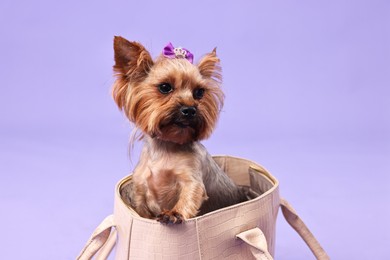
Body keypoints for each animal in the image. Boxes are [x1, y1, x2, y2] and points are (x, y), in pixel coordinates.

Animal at [111, 35, 251, 224]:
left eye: (199, 92)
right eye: (165, 87)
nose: (190, 110)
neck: (167, 145)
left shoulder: (191, 179)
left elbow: (189, 195)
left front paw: (173, 213)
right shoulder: (140, 189)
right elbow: (142, 210)